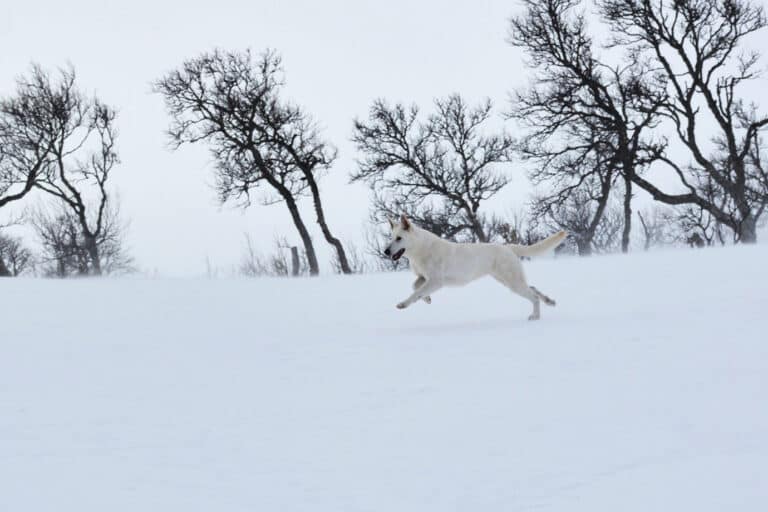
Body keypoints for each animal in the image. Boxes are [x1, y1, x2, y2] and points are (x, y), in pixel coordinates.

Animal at [382, 215, 568, 320]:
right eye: (391, 237)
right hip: (507, 280)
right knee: (534, 288)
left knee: (533, 296)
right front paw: (427, 299)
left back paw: (535, 316)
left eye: (399, 238)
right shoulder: (423, 277)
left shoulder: (435, 281)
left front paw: (404, 304)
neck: (419, 249)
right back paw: (549, 301)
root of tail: (508, 247)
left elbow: (416, 292)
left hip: (512, 282)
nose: (385, 251)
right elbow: (415, 287)